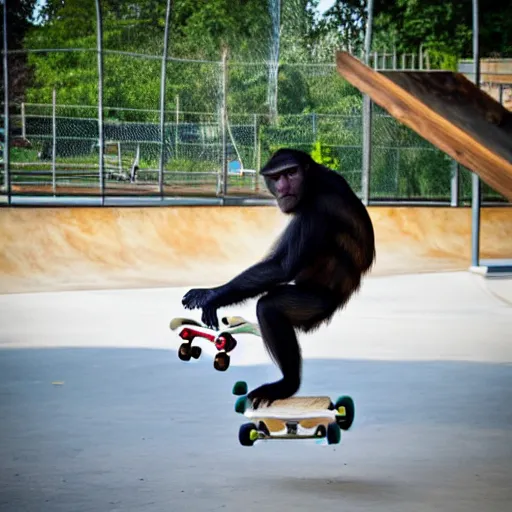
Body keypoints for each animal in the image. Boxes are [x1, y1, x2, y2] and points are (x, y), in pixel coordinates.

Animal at [182, 147, 374, 408]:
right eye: (276, 177)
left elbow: (282, 267)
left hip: (317, 303)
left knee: (270, 306)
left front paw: (212, 295)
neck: (314, 183)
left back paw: (287, 384)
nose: (283, 186)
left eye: (291, 172)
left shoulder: (318, 209)